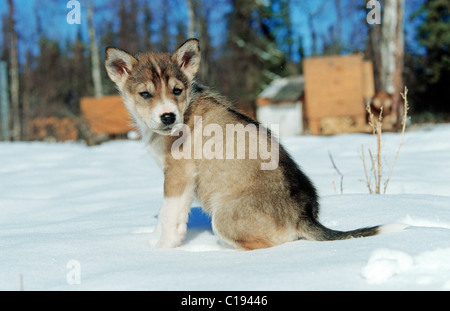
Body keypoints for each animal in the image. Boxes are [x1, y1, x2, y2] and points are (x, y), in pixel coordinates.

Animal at [104, 39, 400, 250]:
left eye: (177, 90)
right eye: (145, 94)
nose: (168, 116)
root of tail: (305, 217)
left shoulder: (179, 175)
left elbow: (169, 214)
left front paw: (163, 249)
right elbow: (164, 212)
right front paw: (154, 241)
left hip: (224, 217)